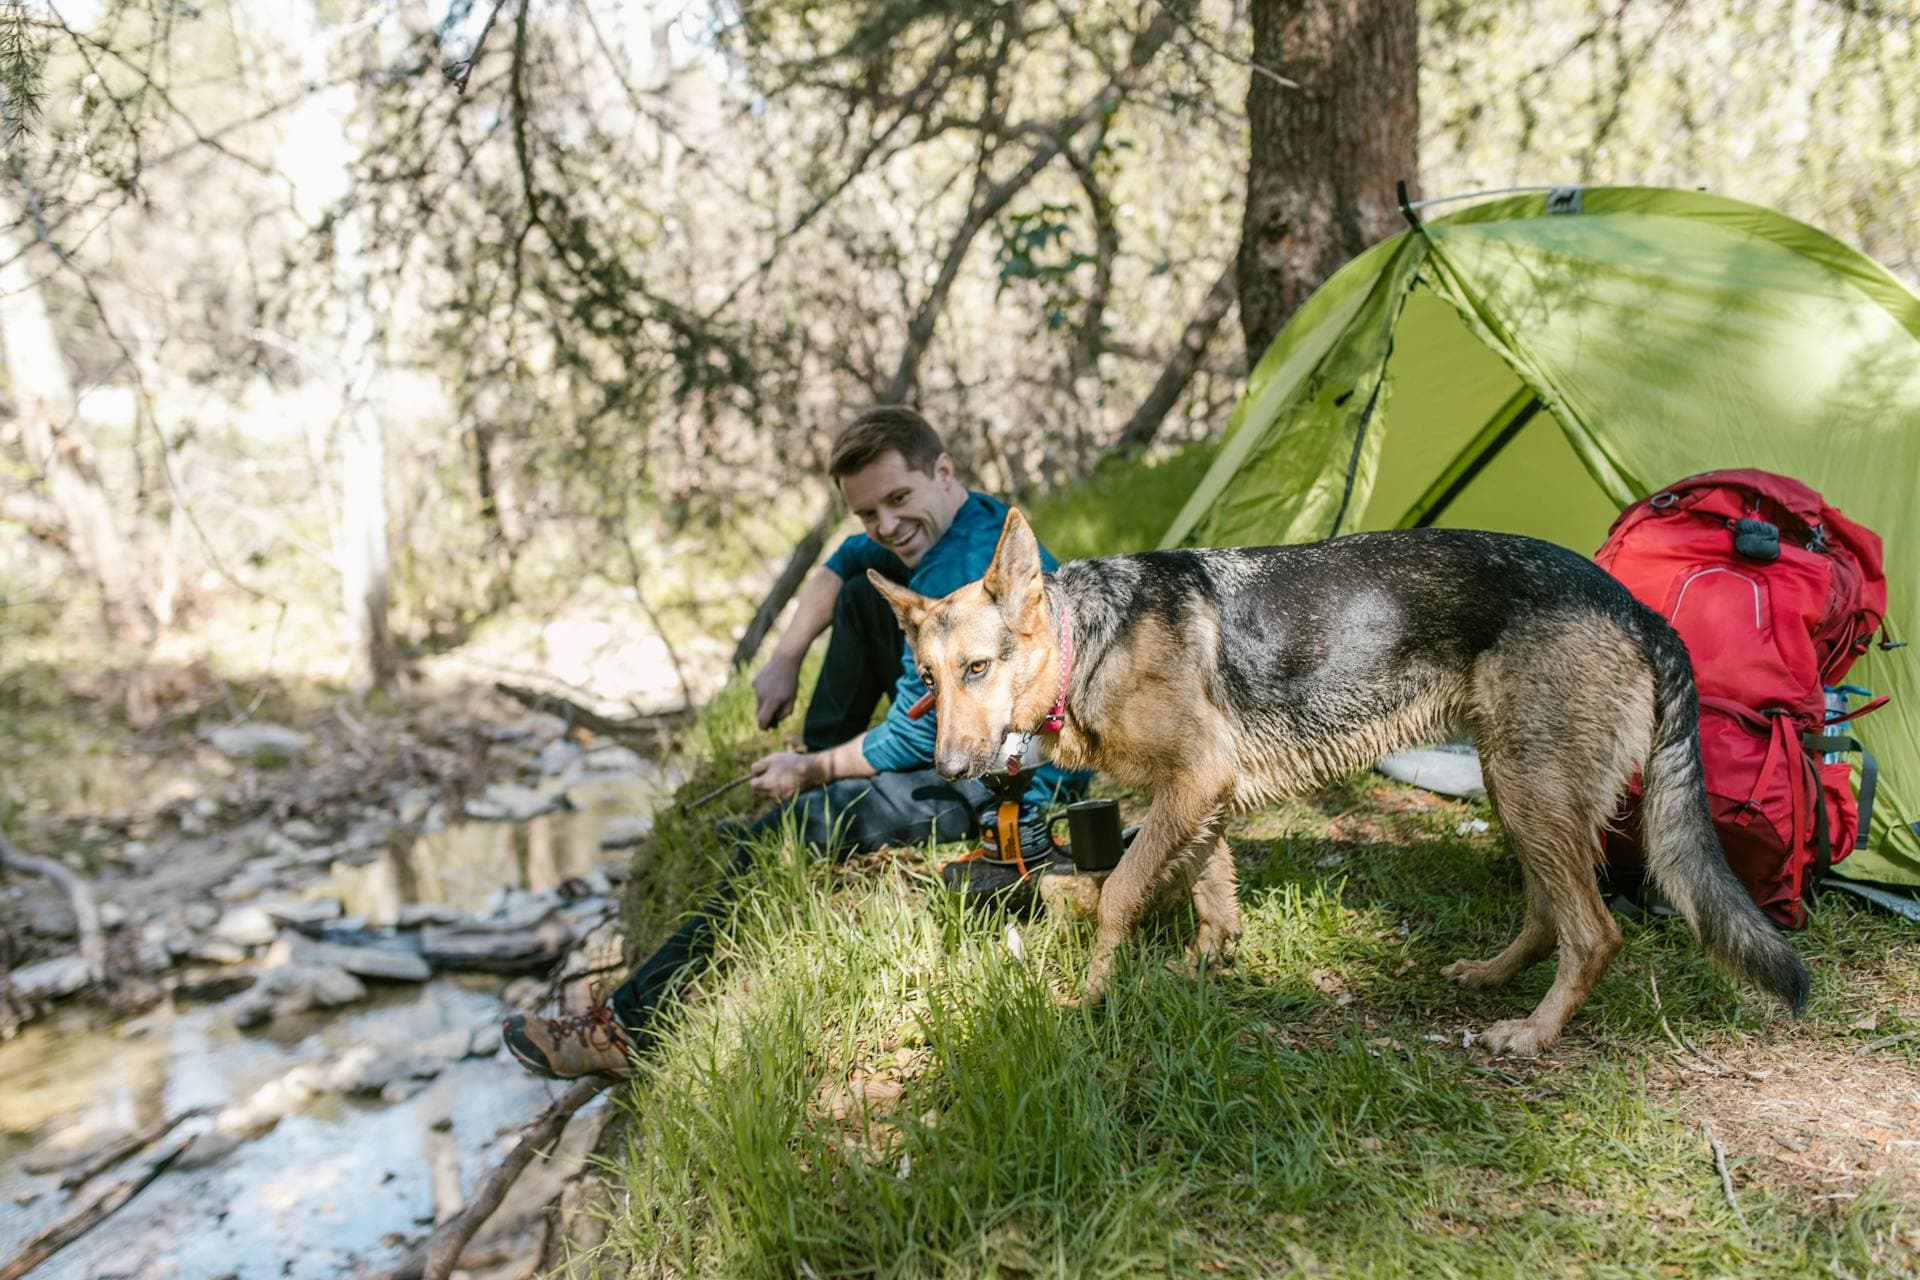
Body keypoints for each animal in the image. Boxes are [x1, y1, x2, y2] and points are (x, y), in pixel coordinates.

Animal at [879, 506, 1804, 1059]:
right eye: (927, 679)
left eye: (978, 668)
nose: (949, 771)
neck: (1088, 641)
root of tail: (1633, 606)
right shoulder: (1203, 799)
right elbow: (1210, 894)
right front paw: (1201, 966)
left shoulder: (1194, 784)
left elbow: (1121, 894)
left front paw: (1090, 998)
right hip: (1520, 790)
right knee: (1551, 914)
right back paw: (1493, 977)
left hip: (1530, 789)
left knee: (1596, 932)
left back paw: (1535, 1032)